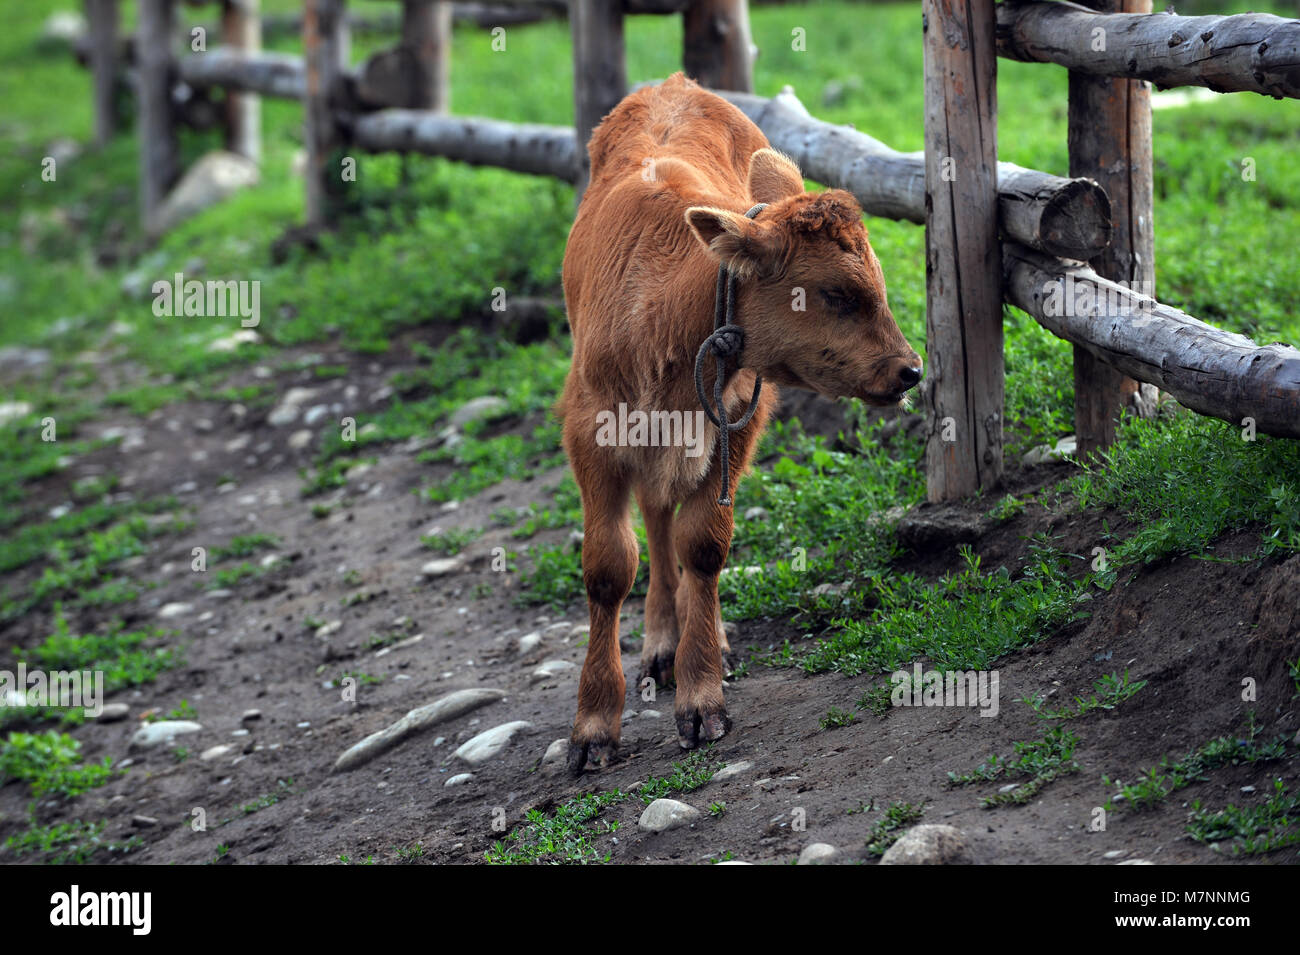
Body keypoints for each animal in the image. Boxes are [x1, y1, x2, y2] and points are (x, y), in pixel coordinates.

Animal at [559, 76, 925, 779]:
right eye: (836, 294)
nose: (910, 369)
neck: (663, 313)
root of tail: (675, 85)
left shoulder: (738, 420)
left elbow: (704, 545)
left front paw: (702, 695)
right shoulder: (591, 434)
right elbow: (610, 564)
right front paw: (593, 726)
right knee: (655, 518)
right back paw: (660, 641)